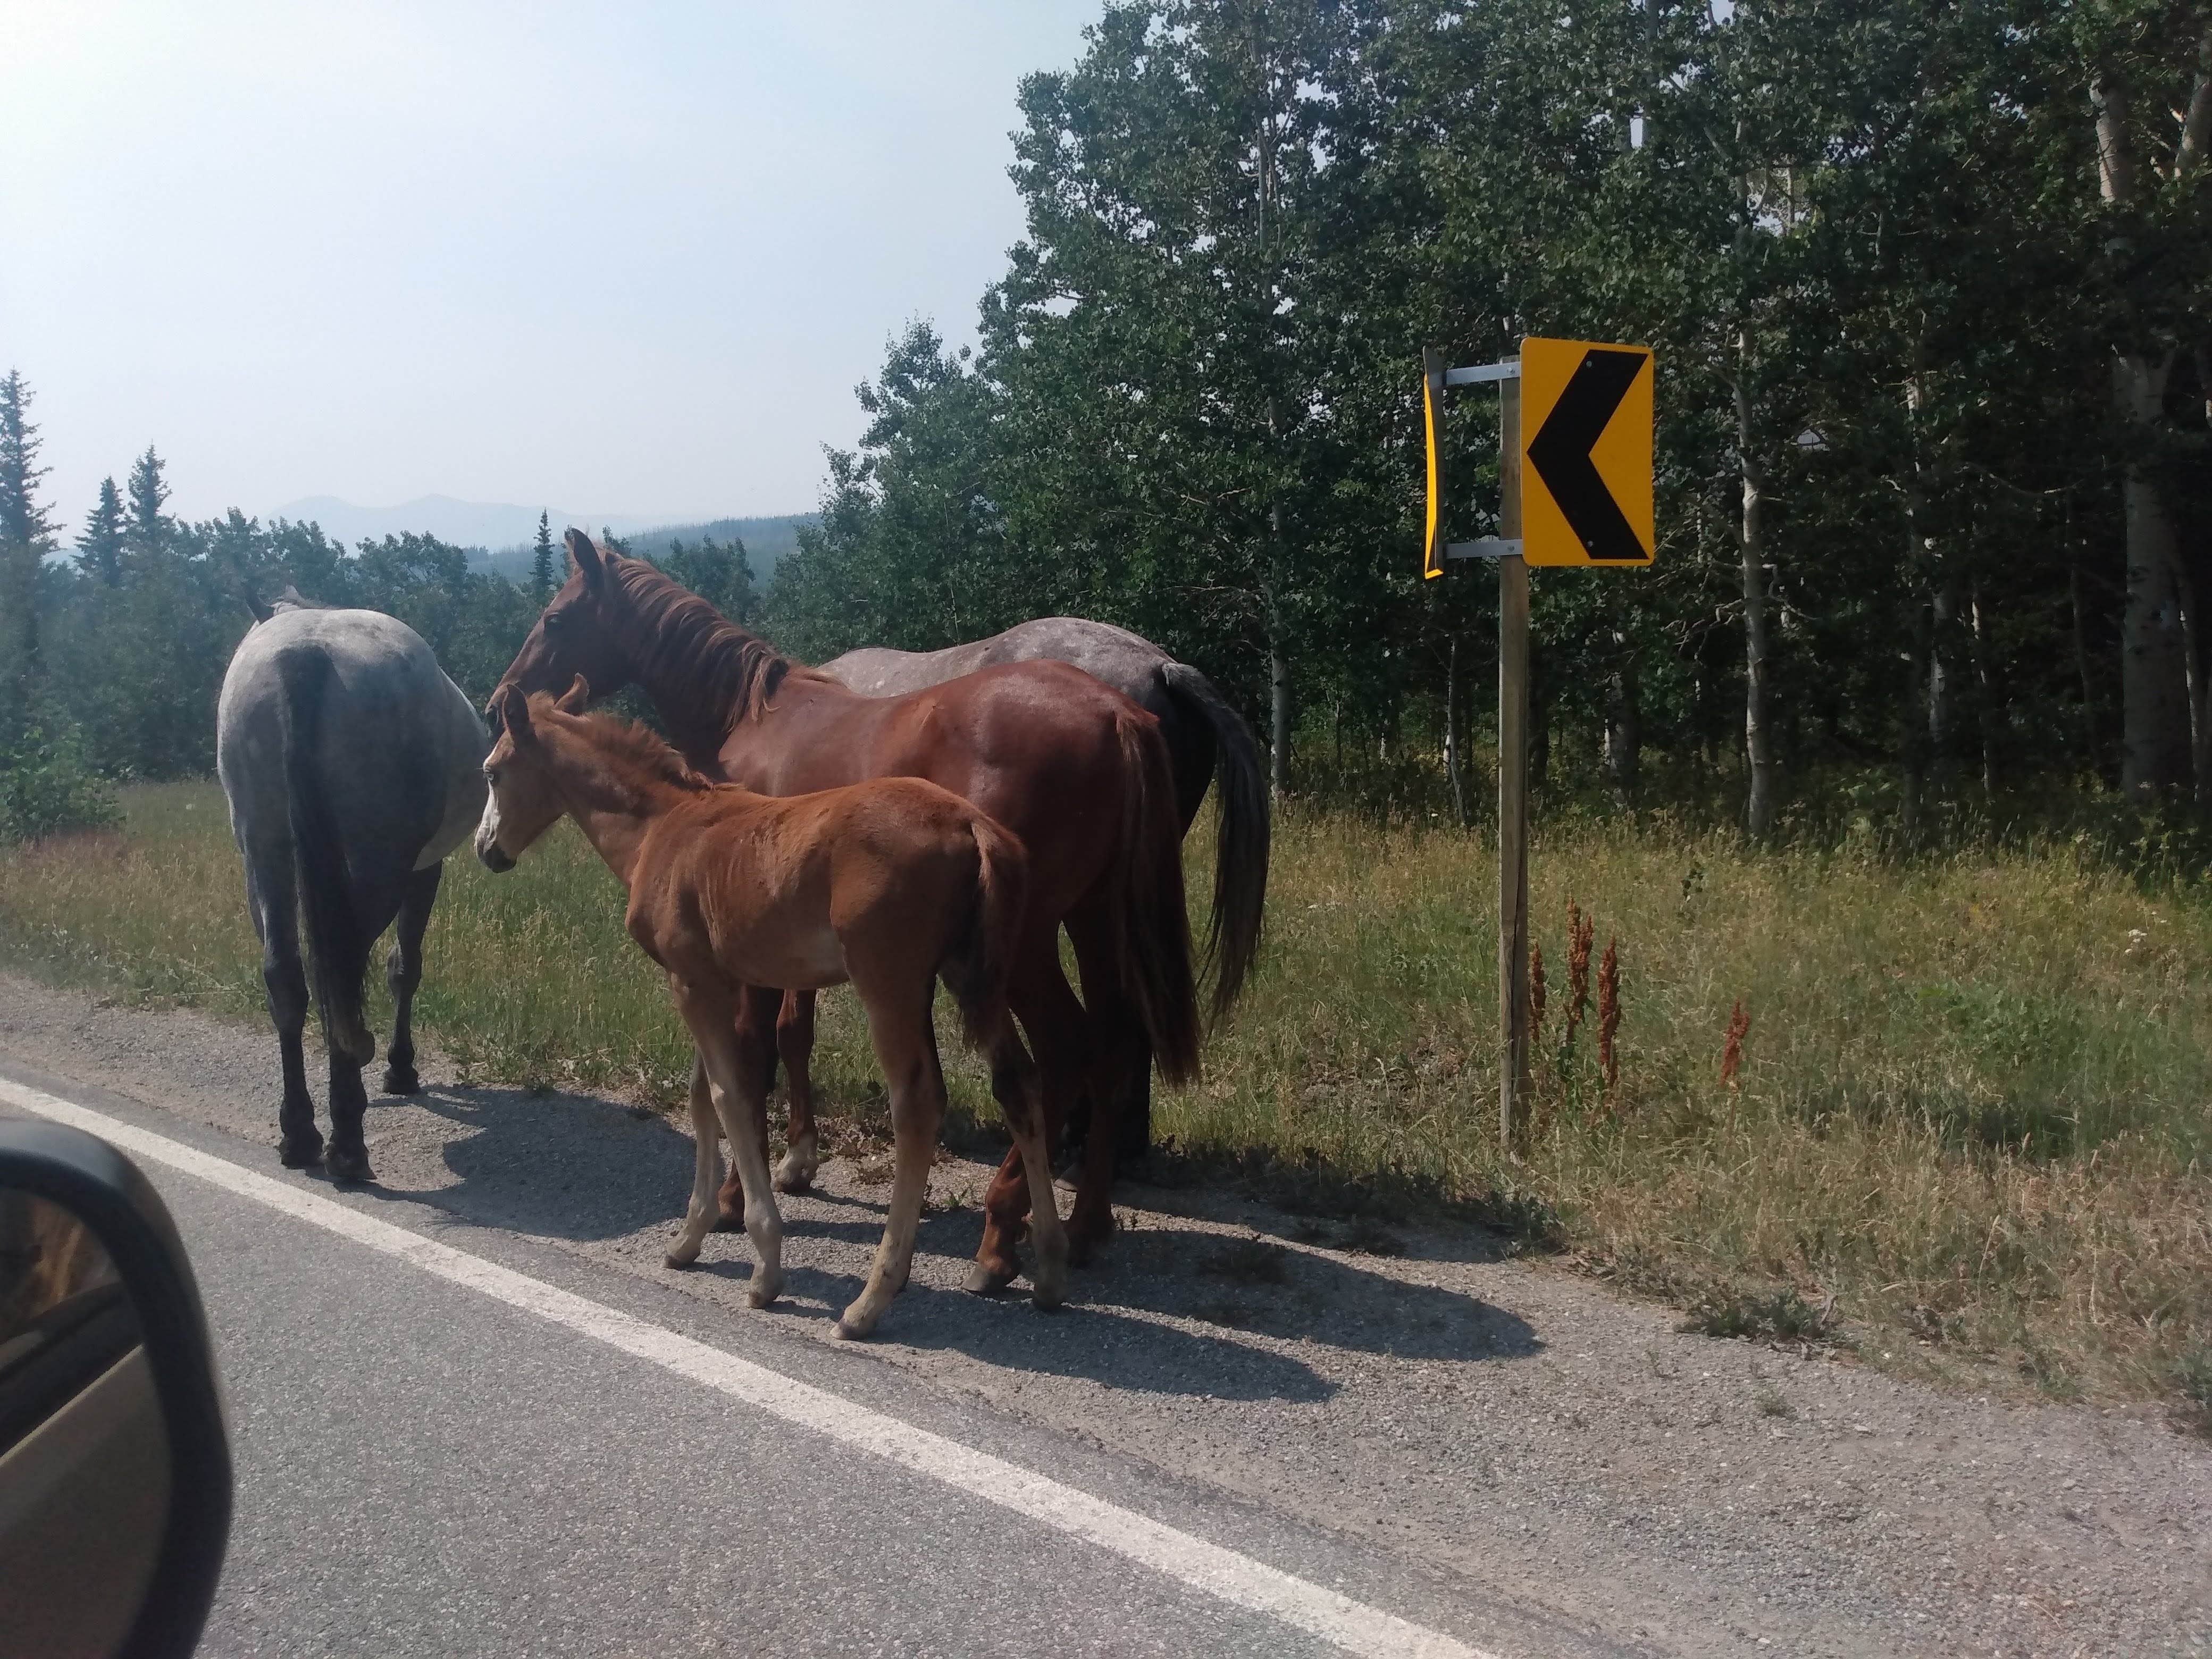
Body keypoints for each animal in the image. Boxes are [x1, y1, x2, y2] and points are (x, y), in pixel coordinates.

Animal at [215, 592, 489, 1185]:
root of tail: (302, 654)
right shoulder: (423, 870)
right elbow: (404, 968)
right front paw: (401, 1068)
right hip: (379, 863)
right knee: (341, 974)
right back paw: (346, 1140)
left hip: (262, 849)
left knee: (287, 977)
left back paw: (300, 1132)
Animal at [477, 676, 1070, 1336]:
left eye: (493, 772)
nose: (485, 849)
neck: (664, 828)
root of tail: (970, 824)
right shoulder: (711, 980)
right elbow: (701, 1098)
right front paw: (689, 1239)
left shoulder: (692, 982)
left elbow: (727, 1095)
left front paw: (763, 1264)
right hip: (972, 977)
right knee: (1019, 1084)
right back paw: (1047, 1270)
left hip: (888, 983)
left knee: (917, 1105)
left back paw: (871, 1299)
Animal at [500, 540, 1203, 1292]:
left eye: (556, 616)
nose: (501, 697)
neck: (752, 719)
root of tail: (1116, 713)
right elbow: (788, 1038)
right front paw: (791, 1165)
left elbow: (750, 1060)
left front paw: (733, 1202)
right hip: (1095, 920)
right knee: (1114, 1042)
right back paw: (1086, 1222)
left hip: (1025, 943)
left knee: (1064, 1048)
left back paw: (1002, 1233)